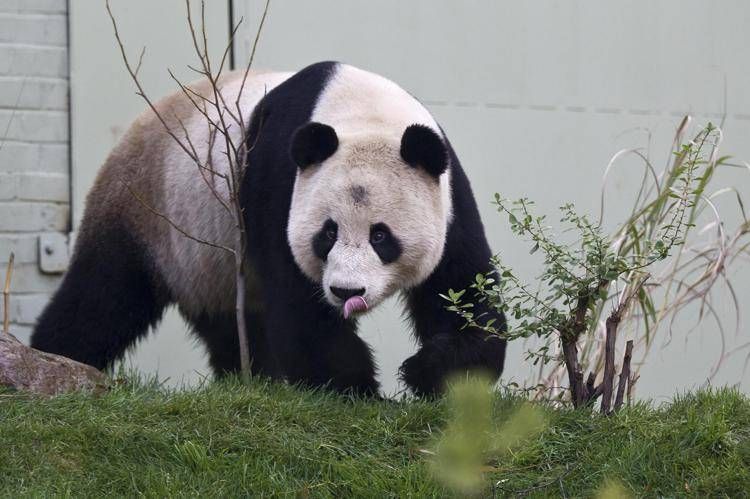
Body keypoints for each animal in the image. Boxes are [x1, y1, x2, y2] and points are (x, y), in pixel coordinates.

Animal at [32, 62, 508, 396]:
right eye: (327, 233)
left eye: (381, 236)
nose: (346, 292)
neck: (364, 113)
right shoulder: (277, 181)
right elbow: (300, 308)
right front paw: (359, 391)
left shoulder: (446, 194)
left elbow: (462, 289)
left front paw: (427, 369)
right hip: (146, 209)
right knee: (103, 296)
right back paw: (50, 356)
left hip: (209, 264)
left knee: (230, 327)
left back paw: (251, 380)